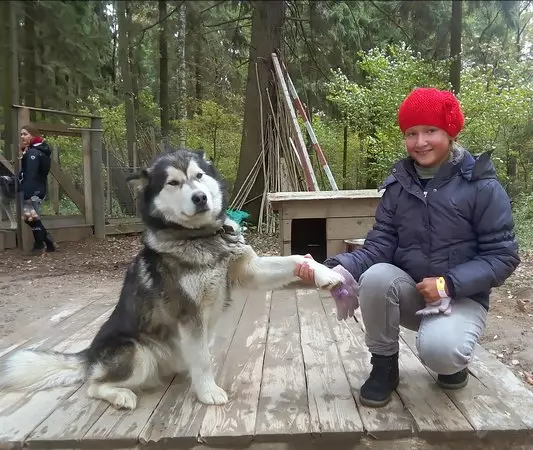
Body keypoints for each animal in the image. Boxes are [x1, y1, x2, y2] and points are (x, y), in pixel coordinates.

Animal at [0, 149, 342, 410]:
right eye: (174, 183)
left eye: (199, 176)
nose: (200, 197)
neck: (203, 237)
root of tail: (89, 353)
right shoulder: (189, 315)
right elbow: (202, 360)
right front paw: (208, 392)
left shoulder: (249, 270)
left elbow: (296, 259)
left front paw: (323, 273)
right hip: (137, 352)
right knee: (93, 385)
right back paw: (121, 395)